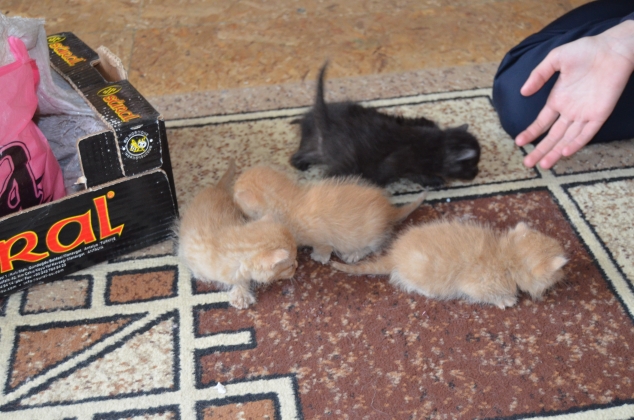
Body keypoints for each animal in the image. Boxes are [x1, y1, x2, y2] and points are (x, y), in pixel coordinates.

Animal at [177, 161, 298, 309]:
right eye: (290, 265)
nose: (297, 266)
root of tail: (216, 187)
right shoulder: (187, 248)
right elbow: (189, 262)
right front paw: (200, 275)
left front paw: (240, 294)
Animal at [233, 165, 427, 264]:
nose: (232, 186)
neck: (289, 200)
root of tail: (389, 210)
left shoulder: (321, 238)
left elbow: (323, 248)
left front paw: (319, 257)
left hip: (370, 234)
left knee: (375, 246)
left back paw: (354, 254)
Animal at [290, 62, 481, 187]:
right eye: (471, 166)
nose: (476, 174)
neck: (437, 145)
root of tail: (327, 121)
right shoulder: (399, 161)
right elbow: (413, 174)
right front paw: (433, 180)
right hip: (346, 161)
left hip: (318, 148)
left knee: (299, 155)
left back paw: (301, 163)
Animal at [331, 220, 568, 309]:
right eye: (561, 270)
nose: (565, 274)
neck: (506, 256)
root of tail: (394, 256)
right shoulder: (476, 285)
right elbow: (490, 295)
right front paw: (506, 300)